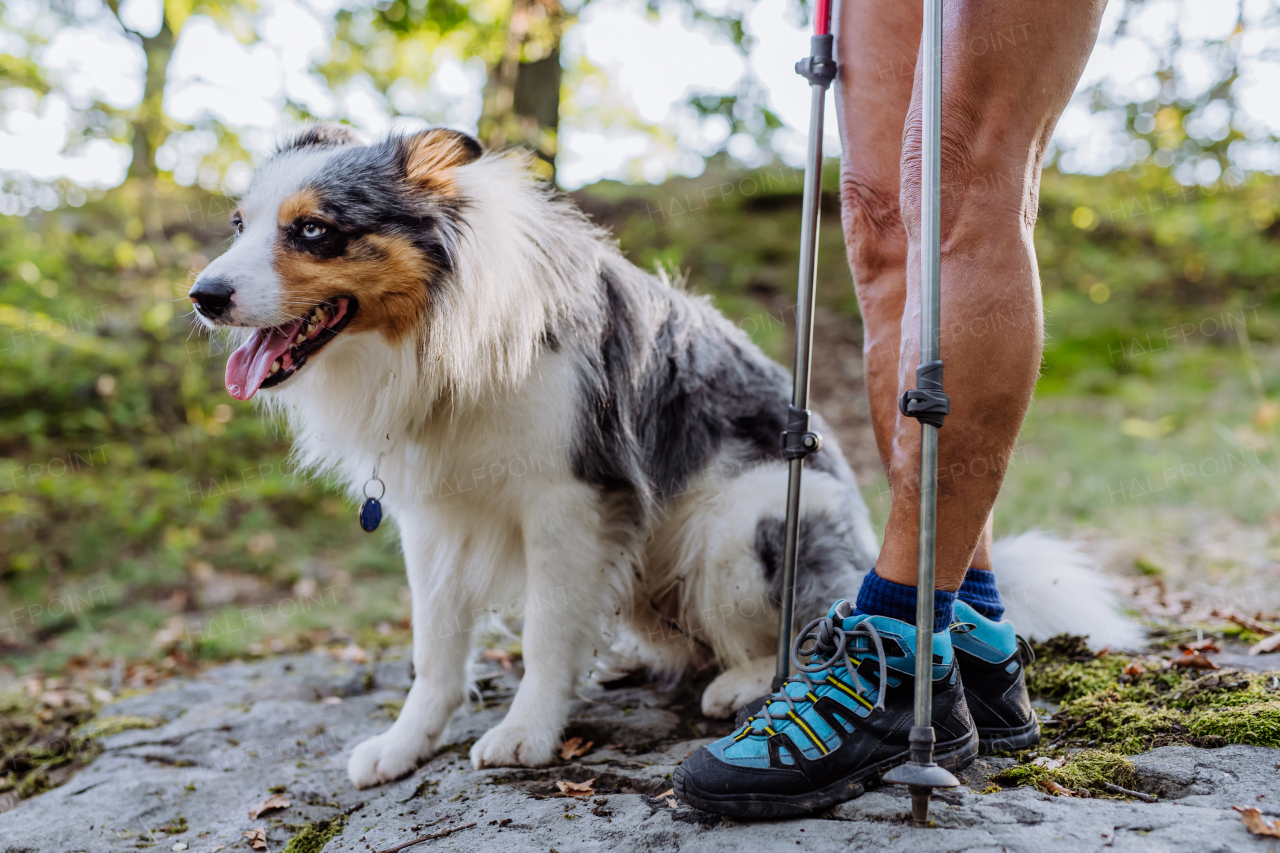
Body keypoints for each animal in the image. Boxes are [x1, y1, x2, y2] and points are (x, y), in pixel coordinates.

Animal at [189, 122, 1131, 788]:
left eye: (313, 231)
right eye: (239, 224)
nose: (203, 294)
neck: (441, 327)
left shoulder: (572, 498)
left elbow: (545, 631)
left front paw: (525, 733)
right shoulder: (433, 516)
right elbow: (437, 648)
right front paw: (403, 744)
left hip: (743, 525)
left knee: (797, 628)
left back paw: (744, 686)